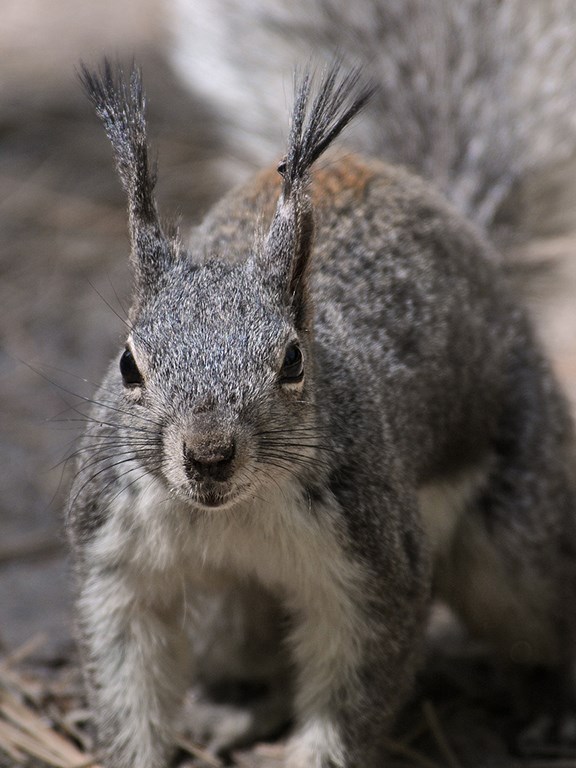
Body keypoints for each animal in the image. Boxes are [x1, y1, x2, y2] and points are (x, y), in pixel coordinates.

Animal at [68, 3, 576, 764]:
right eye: (129, 363)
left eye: (293, 361)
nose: (209, 456)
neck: (234, 512)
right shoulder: (114, 560)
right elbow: (124, 681)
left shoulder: (376, 565)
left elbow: (351, 696)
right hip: (226, 609)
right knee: (252, 657)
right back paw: (231, 709)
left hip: (518, 532)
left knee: (540, 612)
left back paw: (552, 707)